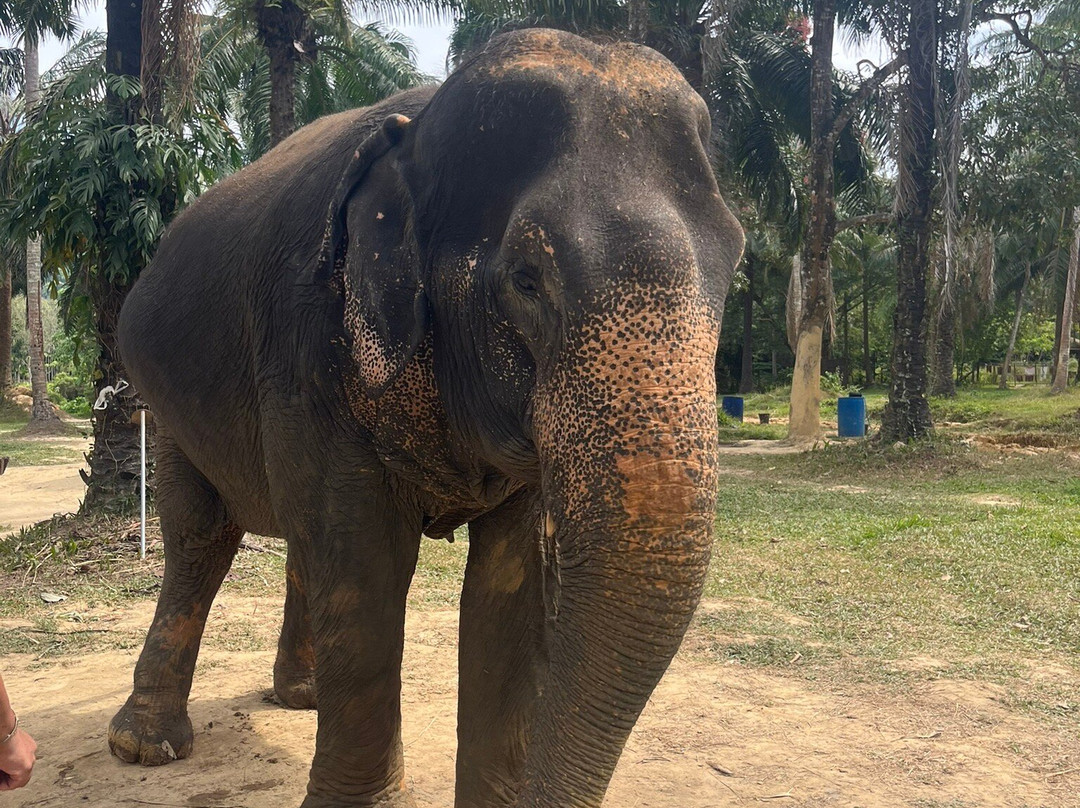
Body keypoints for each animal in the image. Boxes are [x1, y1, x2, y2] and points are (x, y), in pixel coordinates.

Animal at [108, 27, 744, 808]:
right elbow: (363, 563)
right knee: (201, 539)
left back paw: (302, 698)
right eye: (527, 281)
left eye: (736, 267)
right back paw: (146, 746)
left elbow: (508, 584)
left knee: (294, 536)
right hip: (167, 407)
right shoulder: (306, 344)